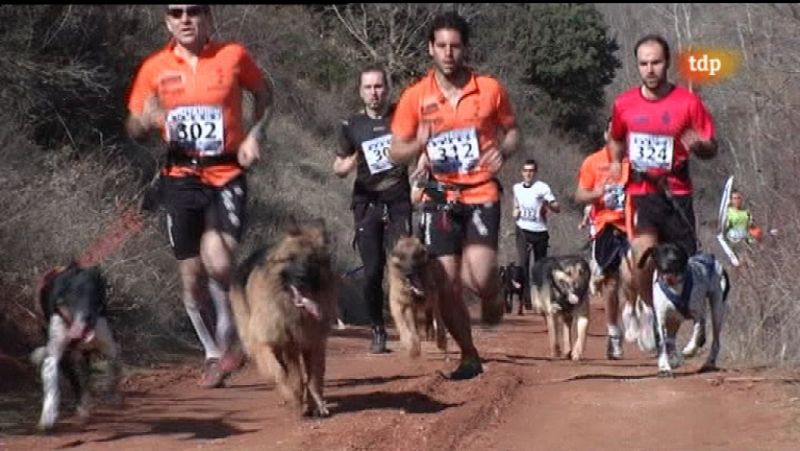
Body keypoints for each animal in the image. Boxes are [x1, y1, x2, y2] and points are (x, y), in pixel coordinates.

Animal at [31, 264, 121, 432]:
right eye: (74, 295)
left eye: (94, 294)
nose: (87, 317)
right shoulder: (54, 355)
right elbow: (52, 386)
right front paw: (48, 416)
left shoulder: (110, 346)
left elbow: (113, 369)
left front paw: (111, 394)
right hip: (67, 356)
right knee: (76, 380)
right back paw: (81, 406)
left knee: (86, 376)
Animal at [228, 221, 334, 418]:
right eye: (291, 258)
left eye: (312, 259)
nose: (301, 279)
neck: (292, 311)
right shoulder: (268, 343)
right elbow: (281, 373)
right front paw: (292, 397)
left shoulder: (312, 343)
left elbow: (314, 377)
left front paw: (317, 403)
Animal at [636, 244, 732, 378]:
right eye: (662, 252)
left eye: (678, 252)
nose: (672, 260)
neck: (673, 285)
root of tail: (710, 258)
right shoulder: (659, 320)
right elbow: (662, 344)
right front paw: (664, 367)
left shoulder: (698, 315)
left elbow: (698, 333)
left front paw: (690, 349)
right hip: (675, 320)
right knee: (670, 341)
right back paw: (675, 359)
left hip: (717, 308)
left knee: (715, 341)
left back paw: (708, 363)